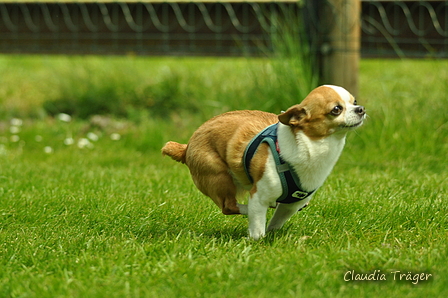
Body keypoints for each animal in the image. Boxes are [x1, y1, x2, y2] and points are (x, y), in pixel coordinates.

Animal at [163, 85, 366, 239]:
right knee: (229, 206)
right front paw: (257, 240)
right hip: (218, 177)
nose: (361, 109)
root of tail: (187, 146)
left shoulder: (291, 205)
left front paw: (272, 234)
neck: (313, 146)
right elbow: (258, 227)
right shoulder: (259, 195)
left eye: (354, 102)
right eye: (336, 110)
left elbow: (276, 222)